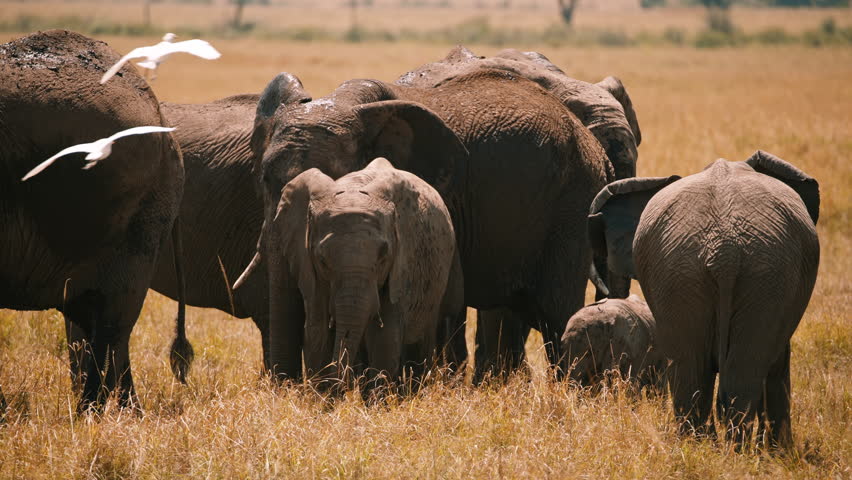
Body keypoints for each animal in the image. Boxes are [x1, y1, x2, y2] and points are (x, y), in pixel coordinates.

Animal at [237, 158, 463, 388]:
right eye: (322, 259)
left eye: (384, 255)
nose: (339, 386)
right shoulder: (309, 267)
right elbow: (317, 331)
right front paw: (323, 393)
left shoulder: (401, 266)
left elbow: (385, 336)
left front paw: (377, 396)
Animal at [587, 150, 820, 449]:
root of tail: (725, 249)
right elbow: (779, 365)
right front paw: (778, 452)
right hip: (739, 275)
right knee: (727, 372)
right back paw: (726, 450)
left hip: (708, 274)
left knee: (700, 370)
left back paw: (710, 446)